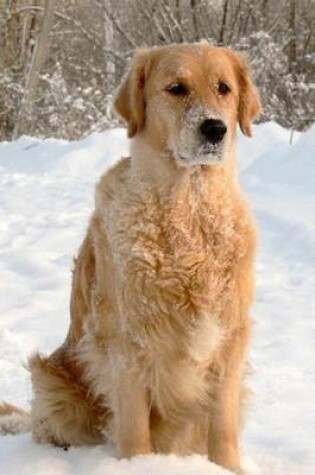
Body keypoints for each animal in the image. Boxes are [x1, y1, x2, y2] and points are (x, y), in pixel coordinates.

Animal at [0, 42, 262, 474]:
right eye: (176, 88)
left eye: (223, 88)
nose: (214, 129)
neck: (188, 215)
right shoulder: (128, 341)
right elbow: (135, 427)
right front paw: (139, 465)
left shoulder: (231, 336)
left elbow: (222, 426)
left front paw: (228, 468)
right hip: (51, 379)